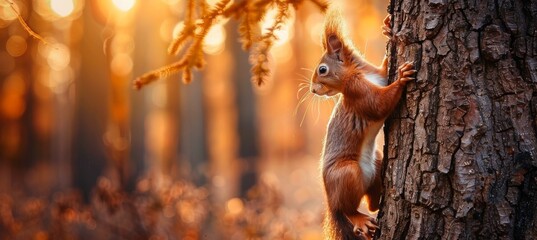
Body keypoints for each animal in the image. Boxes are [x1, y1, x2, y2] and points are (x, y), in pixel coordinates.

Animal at [308, 9, 416, 240]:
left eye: (322, 69)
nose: (313, 90)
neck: (360, 72)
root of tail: (330, 202)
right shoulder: (357, 92)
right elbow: (378, 104)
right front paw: (401, 77)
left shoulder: (379, 75)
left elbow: (385, 68)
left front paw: (387, 28)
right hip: (346, 173)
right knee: (348, 209)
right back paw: (360, 219)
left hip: (376, 161)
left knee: (373, 204)